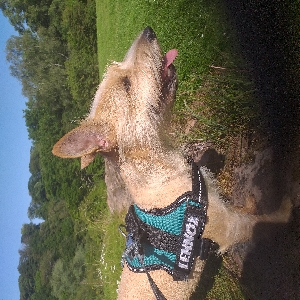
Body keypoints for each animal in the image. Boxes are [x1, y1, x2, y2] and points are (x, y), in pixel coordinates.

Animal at [52, 27, 292, 298]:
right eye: (126, 84)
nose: (148, 31)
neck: (161, 163)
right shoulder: (230, 228)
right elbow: (262, 221)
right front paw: (288, 206)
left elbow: (246, 210)